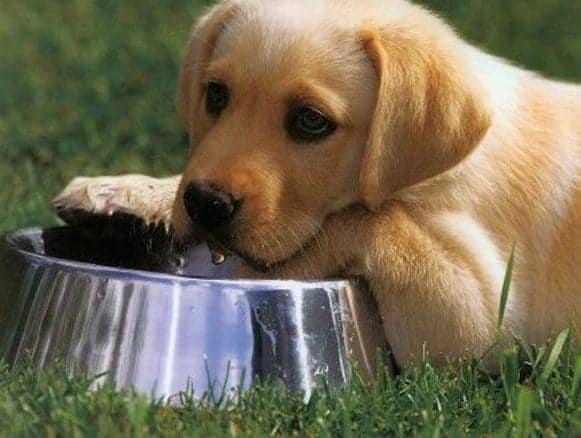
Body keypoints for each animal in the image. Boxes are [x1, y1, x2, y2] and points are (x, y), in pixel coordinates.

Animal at [52, 0, 576, 366]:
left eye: (310, 121)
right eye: (215, 95)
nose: (206, 204)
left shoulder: (481, 324)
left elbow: (374, 221)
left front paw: (271, 270)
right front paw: (126, 194)